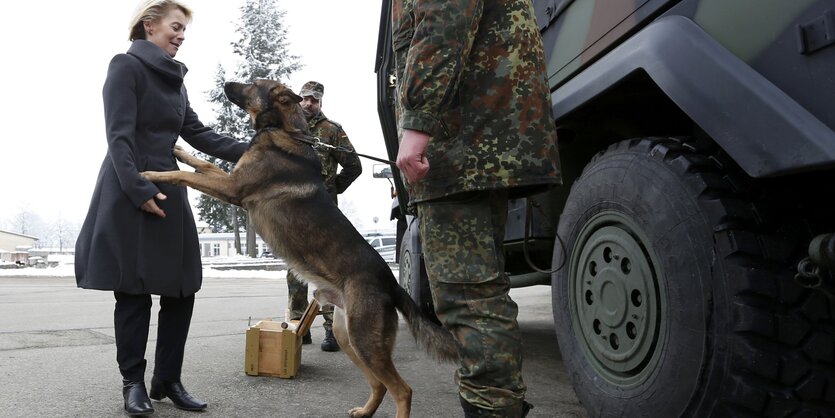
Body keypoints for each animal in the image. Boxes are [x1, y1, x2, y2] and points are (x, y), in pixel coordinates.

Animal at [142, 80, 458, 416]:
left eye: (253, 84)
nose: (226, 83)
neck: (284, 130)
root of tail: (391, 282)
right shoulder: (232, 180)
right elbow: (201, 163)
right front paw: (179, 150)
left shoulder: (233, 188)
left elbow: (183, 175)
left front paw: (150, 174)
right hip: (349, 337)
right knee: (379, 384)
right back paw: (364, 411)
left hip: (365, 341)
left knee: (402, 389)